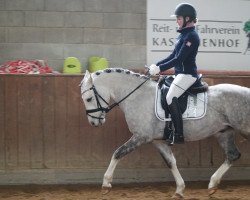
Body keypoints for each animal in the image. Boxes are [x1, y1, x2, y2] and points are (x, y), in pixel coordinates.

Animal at [80, 68, 250, 198]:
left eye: (88, 99)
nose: (94, 123)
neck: (137, 96)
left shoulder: (141, 136)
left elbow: (118, 153)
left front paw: (106, 184)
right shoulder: (158, 141)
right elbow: (170, 162)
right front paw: (179, 190)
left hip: (243, 129)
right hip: (224, 132)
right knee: (232, 155)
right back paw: (212, 184)